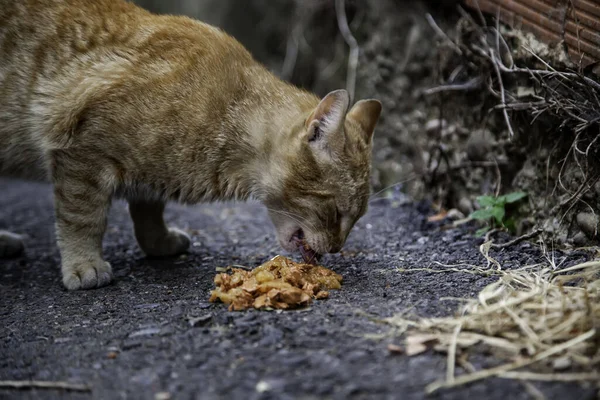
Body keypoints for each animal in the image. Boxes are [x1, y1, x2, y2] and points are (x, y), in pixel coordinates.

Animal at [0, 0, 382, 290]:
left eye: (357, 217)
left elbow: (148, 209)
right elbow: (82, 218)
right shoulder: (82, 153)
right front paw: (84, 263)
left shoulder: (146, 177)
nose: (336, 249)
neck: (228, 114)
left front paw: (158, 242)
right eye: (336, 212)